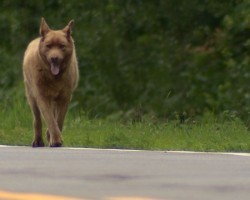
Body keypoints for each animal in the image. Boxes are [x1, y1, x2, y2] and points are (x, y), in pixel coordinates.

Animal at [23, 18, 79, 147]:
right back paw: (38, 141)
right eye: (48, 46)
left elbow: (58, 120)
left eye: (62, 46)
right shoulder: (42, 96)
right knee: (37, 120)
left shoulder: (65, 97)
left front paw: (53, 137)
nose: (54, 58)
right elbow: (50, 119)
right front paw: (56, 139)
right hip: (31, 96)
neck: (54, 78)